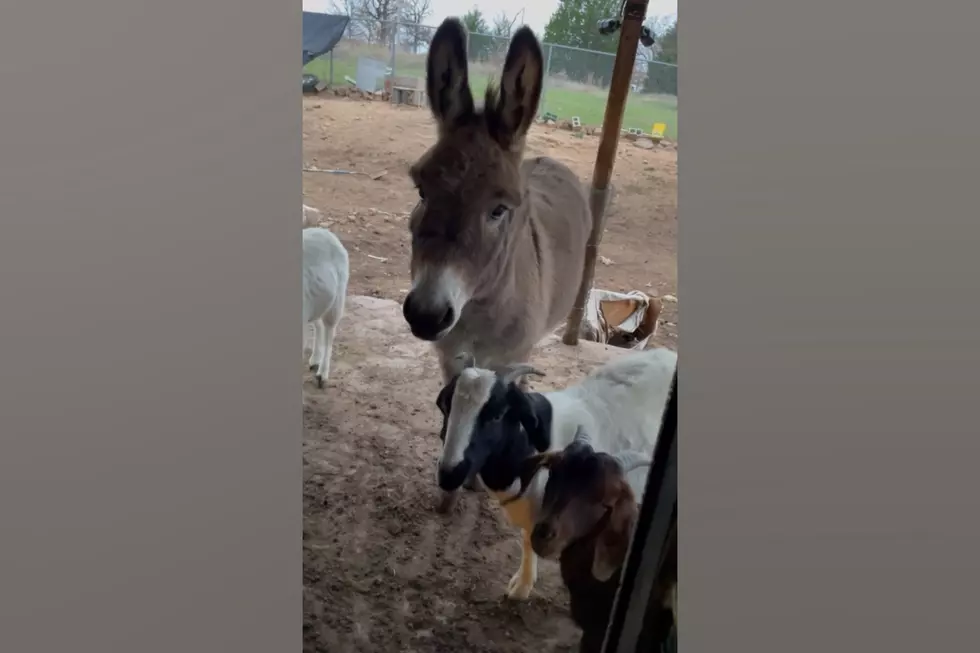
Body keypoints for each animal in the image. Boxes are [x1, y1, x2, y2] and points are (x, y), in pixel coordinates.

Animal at [306, 224, 352, 388]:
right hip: (316, 303)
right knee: (319, 325)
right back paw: (315, 359)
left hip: (336, 300)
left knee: (329, 332)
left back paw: (322, 374)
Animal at [398, 16, 588, 510]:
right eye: (421, 190)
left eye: (500, 210)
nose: (425, 314)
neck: (478, 309)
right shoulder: (450, 355)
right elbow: (454, 406)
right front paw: (450, 494)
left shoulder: (509, 357)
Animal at [432, 346, 676, 600]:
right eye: (446, 405)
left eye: (497, 415)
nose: (449, 474)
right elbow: (527, 541)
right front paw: (522, 584)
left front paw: (521, 589)